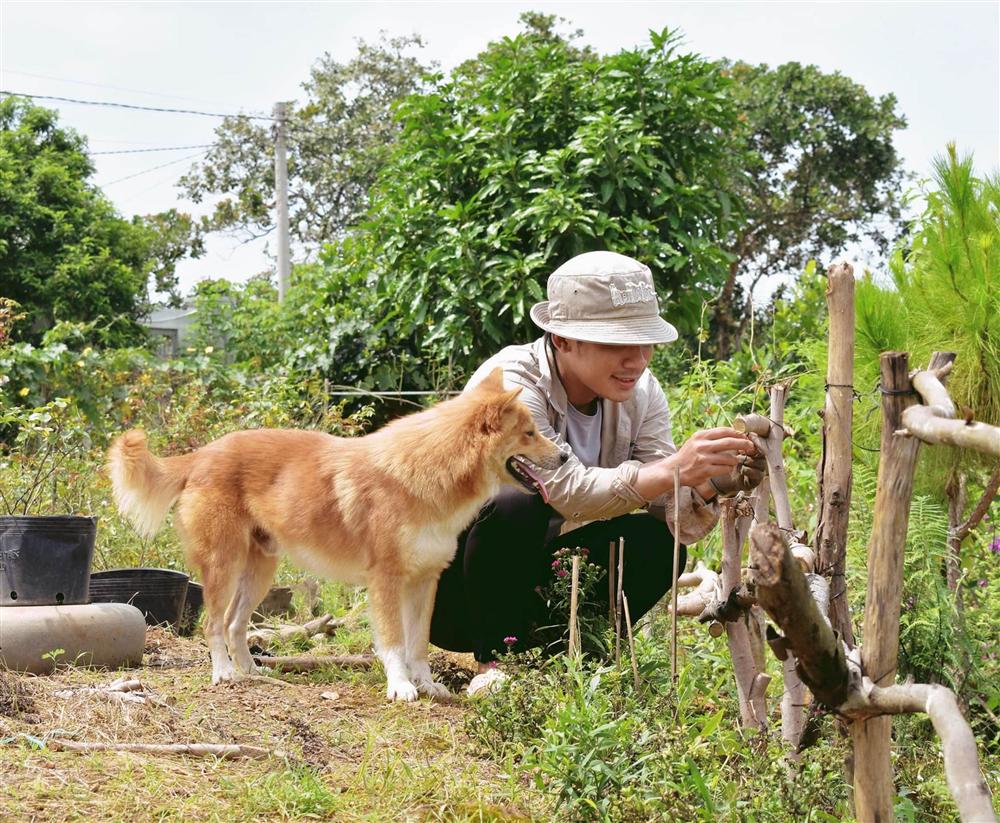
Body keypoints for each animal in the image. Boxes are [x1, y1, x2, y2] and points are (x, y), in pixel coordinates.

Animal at [110, 372, 568, 700]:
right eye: (530, 433)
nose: (565, 456)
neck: (427, 473)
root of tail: (203, 454)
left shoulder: (424, 582)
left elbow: (418, 644)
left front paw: (425, 684)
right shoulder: (386, 581)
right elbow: (394, 643)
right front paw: (401, 686)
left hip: (260, 572)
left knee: (236, 625)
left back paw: (253, 672)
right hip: (224, 565)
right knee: (214, 625)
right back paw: (224, 674)